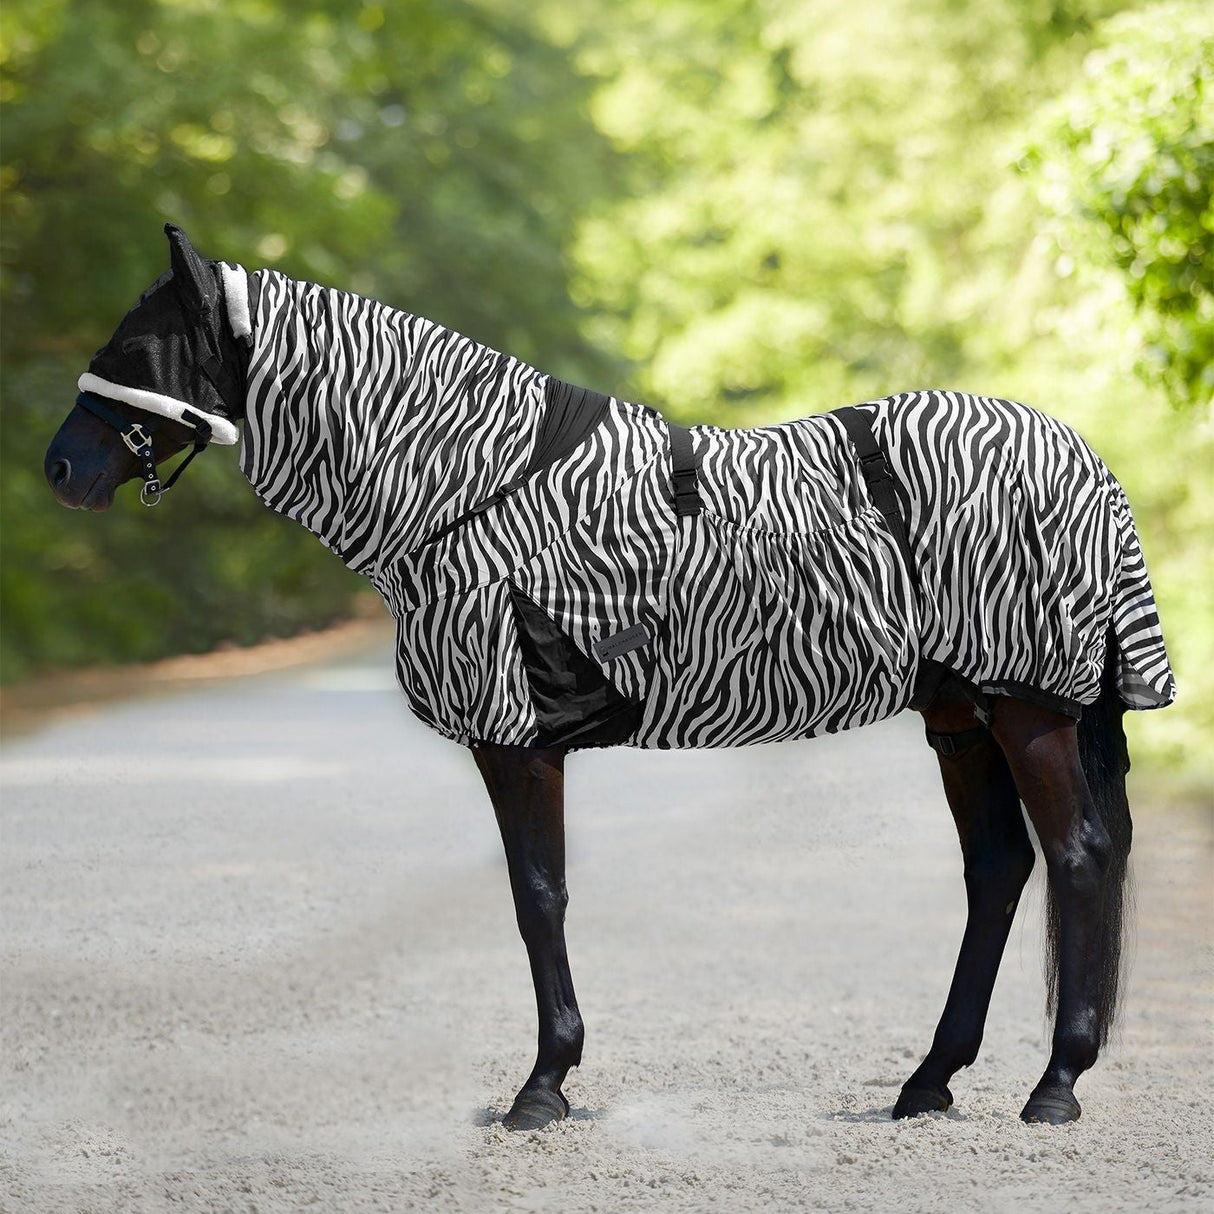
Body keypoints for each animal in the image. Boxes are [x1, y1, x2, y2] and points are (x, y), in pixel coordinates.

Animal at [45, 224, 1175, 1129]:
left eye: (137, 349)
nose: (60, 469)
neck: (467, 486)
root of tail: (1083, 457)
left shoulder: (513, 736)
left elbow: (536, 895)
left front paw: (542, 1086)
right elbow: (536, 895)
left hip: (1026, 707)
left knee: (1076, 857)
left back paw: (1054, 1086)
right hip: (961, 715)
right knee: (999, 870)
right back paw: (927, 1081)